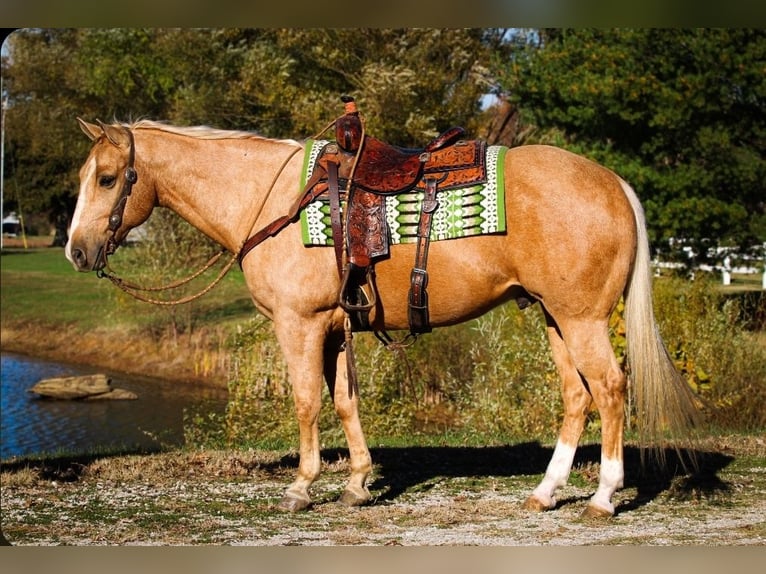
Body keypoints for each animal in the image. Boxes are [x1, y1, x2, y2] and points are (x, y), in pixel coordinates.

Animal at [66, 116, 699, 518]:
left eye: (107, 178)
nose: (75, 250)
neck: (270, 200)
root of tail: (612, 181)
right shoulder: (334, 326)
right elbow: (345, 402)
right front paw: (356, 483)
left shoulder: (299, 325)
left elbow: (306, 403)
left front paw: (301, 487)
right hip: (555, 318)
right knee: (577, 396)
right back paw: (546, 492)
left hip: (583, 319)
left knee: (611, 389)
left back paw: (603, 497)